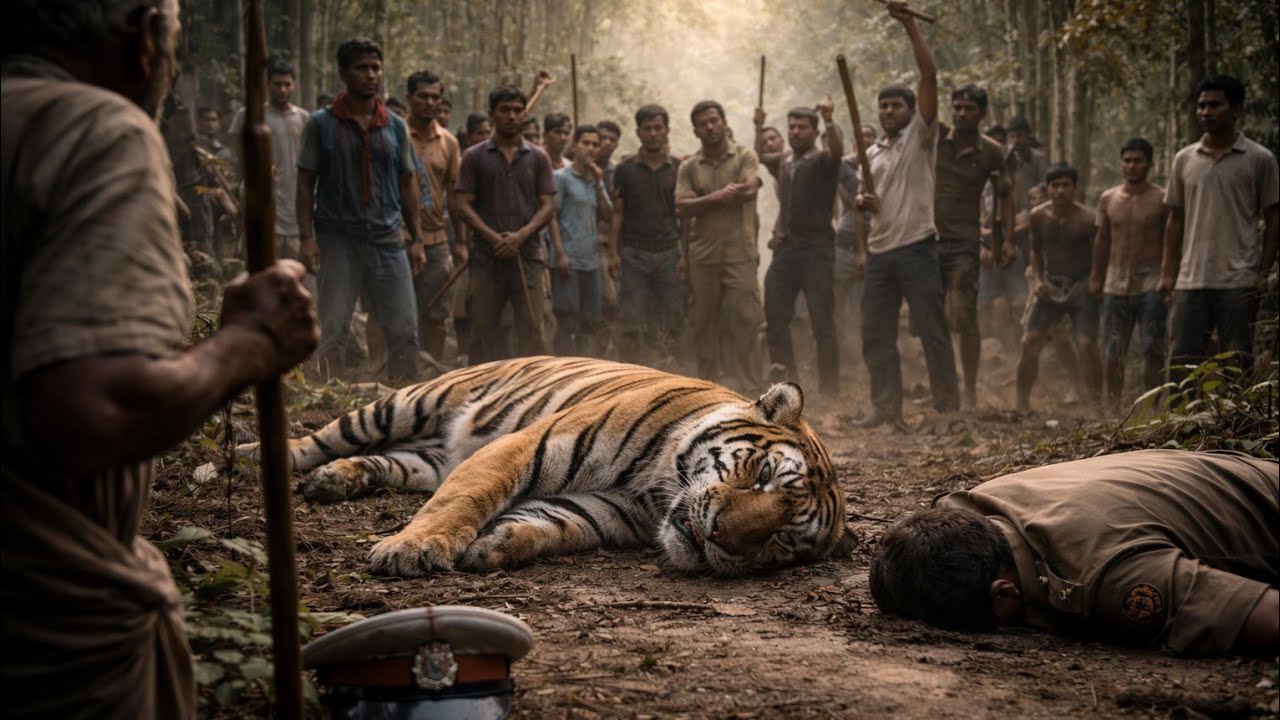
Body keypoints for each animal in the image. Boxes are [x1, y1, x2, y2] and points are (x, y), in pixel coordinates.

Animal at [257, 356, 855, 577]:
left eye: (781, 540)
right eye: (762, 476)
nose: (721, 537)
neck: (655, 488)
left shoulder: (609, 511)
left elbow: (555, 525)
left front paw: (495, 546)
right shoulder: (526, 444)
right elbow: (462, 500)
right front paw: (411, 549)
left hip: (426, 459)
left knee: (387, 461)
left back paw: (333, 481)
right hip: (409, 402)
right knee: (325, 436)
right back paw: (264, 458)